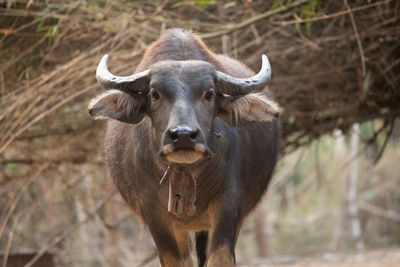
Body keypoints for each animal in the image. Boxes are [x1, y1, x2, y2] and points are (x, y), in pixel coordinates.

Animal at [89, 28, 280, 267]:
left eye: (209, 94)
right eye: (154, 94)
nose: (183, 136)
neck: (186, 173)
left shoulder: (230, 204)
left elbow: (220, 257)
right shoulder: (154, 213)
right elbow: (176, 260)